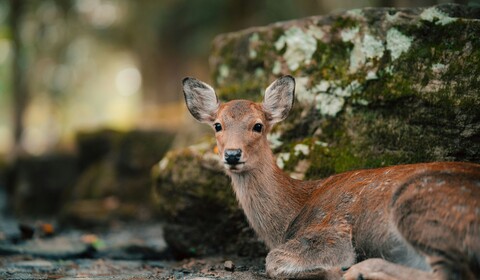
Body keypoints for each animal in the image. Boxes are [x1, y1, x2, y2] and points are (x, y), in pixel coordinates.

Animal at [183, 75, 480, 280]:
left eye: (258, 125)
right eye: (218, 125)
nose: (232, 155)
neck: (292, 213)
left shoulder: (331, 232)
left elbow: (273, 261)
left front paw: (336, 269)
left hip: (418, 204)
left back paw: (358, 271)